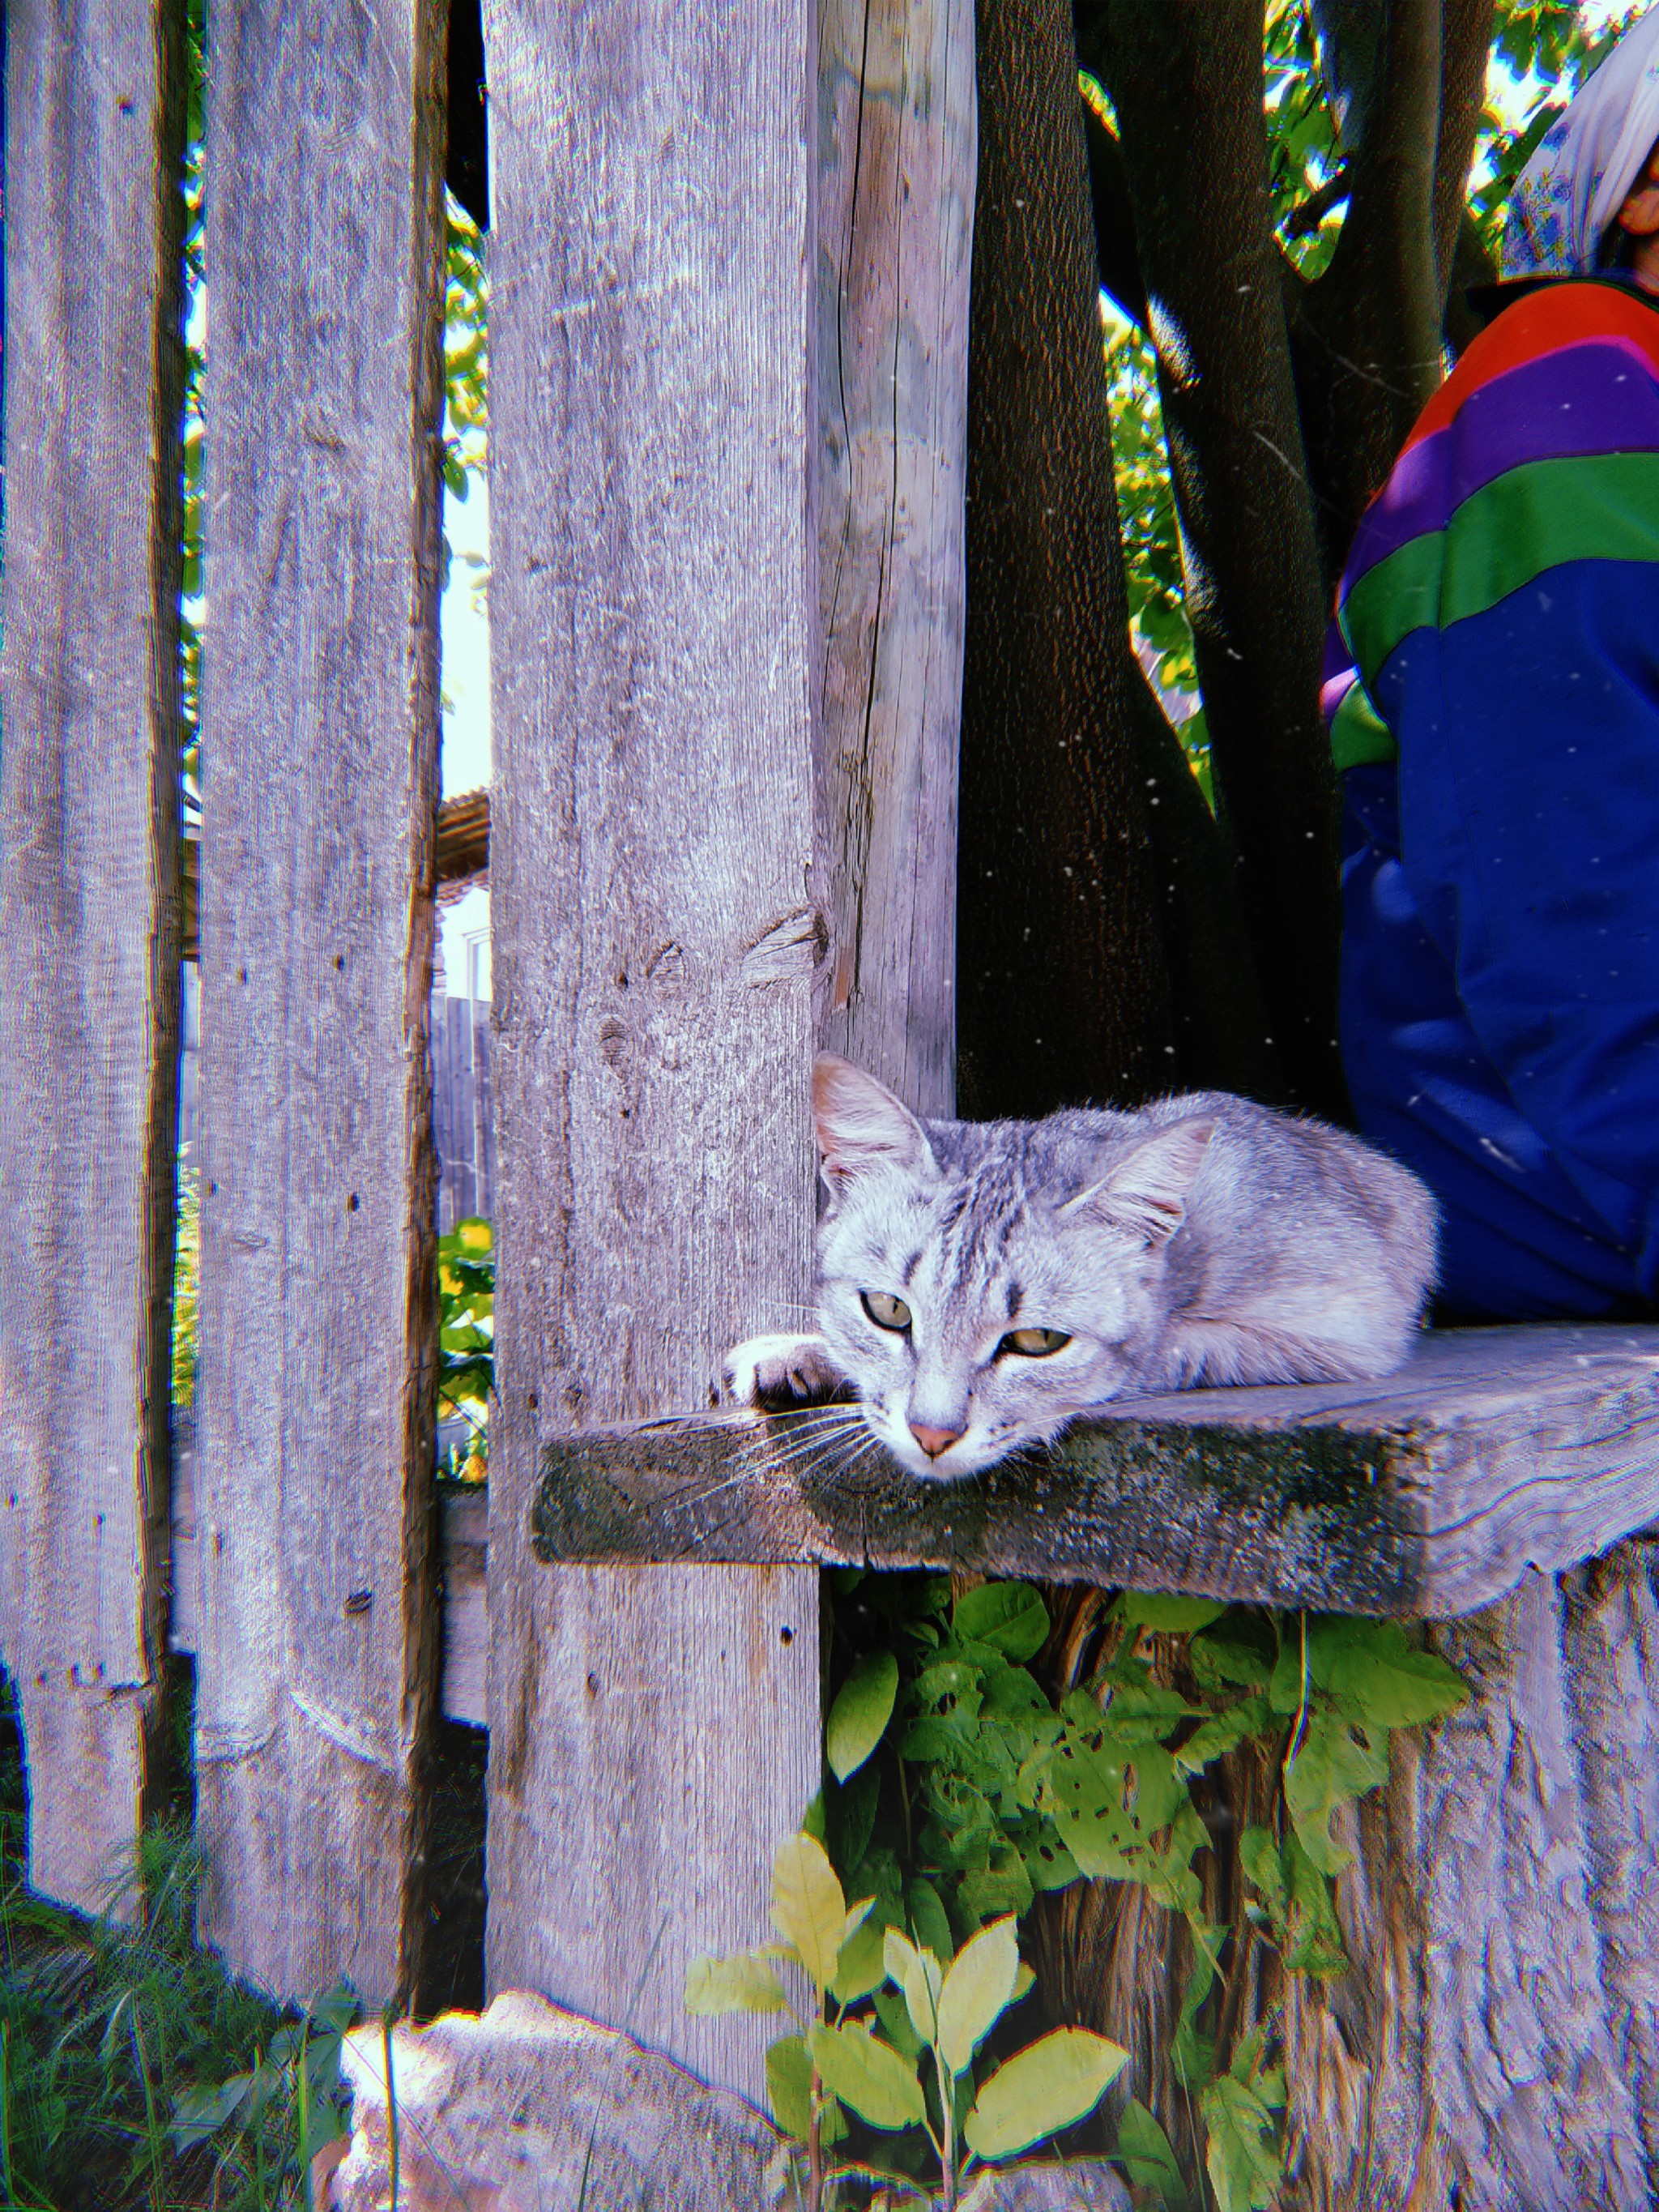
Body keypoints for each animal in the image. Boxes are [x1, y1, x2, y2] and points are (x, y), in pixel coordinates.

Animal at [725, 1057, 1442, 1486]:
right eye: (889, 1310)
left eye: (1038, 1341)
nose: (932, 1435)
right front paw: (802, 1352)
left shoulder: (1347, 1328)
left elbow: (1168, 1350)